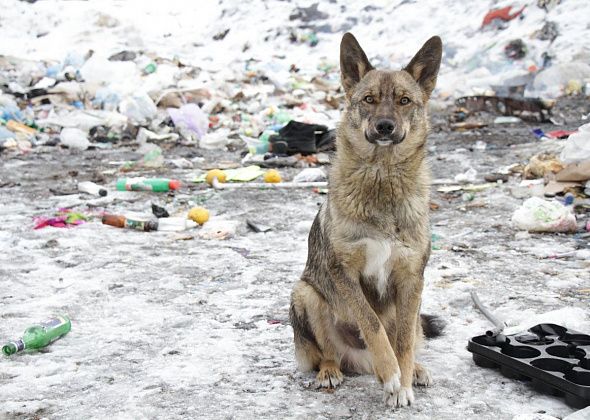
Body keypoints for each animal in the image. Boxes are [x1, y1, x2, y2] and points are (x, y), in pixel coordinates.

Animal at [290, 32, 446, 406]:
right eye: (369, 99)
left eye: (404, 100)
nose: (385, 126)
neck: (382, 175)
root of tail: (359, 362)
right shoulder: (343, 272)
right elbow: (372, 324)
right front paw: (390, 375)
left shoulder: (411, 278)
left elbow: (401, 339)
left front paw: (402, 381)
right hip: (305, 293)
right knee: (328, 353)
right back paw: (330, 372)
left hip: (417, 304)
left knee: (412, 335)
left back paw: (415, 370)